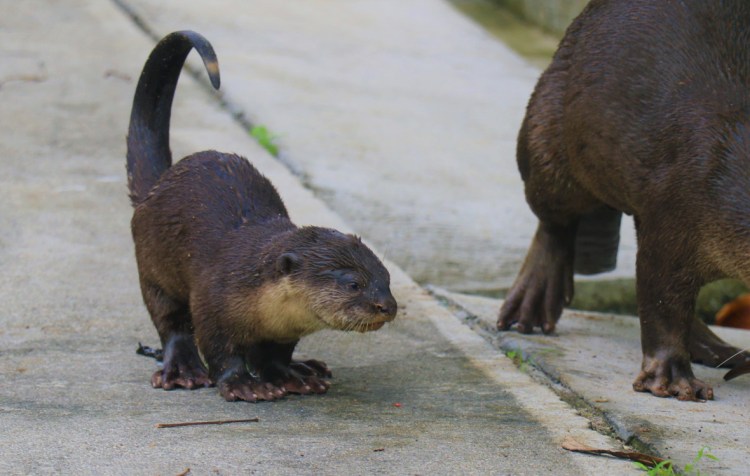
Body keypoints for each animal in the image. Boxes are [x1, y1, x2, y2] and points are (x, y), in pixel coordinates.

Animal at [127, 31, 397, 402]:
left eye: (386, 279)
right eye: (353, 284)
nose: (388, 306)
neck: (256, 295)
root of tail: (154, 188)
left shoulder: (284, 330)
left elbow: (274, 354)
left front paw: (289, 375)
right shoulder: (212, 302)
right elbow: (220, 350)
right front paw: (242, 384)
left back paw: (307, 366)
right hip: (154, 265)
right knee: (170, 320)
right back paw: (182, 369)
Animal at [497, 0, 750, 401]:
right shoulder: (678, 204)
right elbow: (660, 296)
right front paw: (672, 379)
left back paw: (719, 349)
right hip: (548, 126)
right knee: (553, 221)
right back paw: (531, 304)